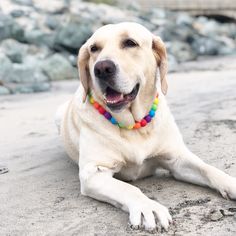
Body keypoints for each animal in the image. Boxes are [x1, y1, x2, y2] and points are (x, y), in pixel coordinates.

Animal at [56, 21, 236, 231]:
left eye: (130, 43)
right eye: (94, 49)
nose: (101, 68)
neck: (135, 126)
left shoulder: (177, 159)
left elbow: (209, 169)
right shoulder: (93, 173)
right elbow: (129, 188)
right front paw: (148, 207)